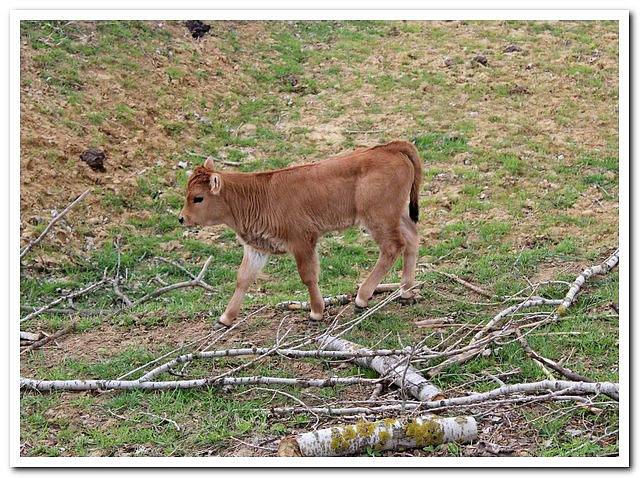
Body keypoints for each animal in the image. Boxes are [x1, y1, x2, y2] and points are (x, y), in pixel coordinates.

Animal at [178, 140, 422, 330]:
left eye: (198, 198)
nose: (182, 218)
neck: (255, 195)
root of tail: (389, 148)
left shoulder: (302, 241)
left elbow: (308, 276)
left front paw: (316, 313)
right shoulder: (257, 248)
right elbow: (243, 279)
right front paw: (225, 319)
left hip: (378, 219)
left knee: (392, 247)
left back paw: (362, 298)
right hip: (397, 214)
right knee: (411, 238)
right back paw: (406, 292)